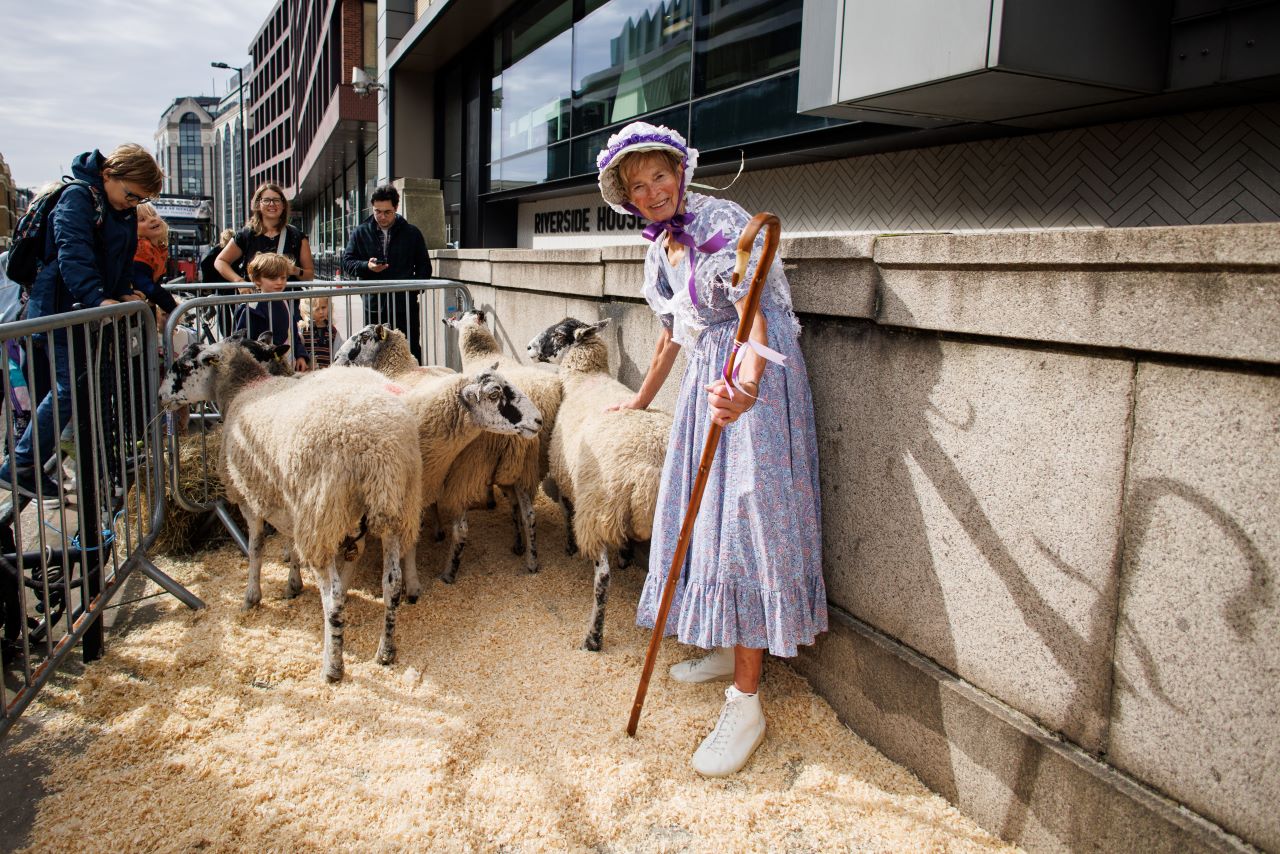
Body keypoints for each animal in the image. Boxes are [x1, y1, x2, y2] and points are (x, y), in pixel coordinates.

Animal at [157, 332, 422, 681]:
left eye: (185, 365)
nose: (160, 396)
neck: (244, 387)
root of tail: (376, 445)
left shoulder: (251, 499)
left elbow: (256, 548)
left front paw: (252, 596)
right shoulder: (285, 499)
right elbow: (289, 543)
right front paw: (292, 582)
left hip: (322, 511)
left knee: (333, 595)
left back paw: (332, 665)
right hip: (394, 504)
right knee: (390, 582)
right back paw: (385, 651)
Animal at [437, 311, 563, 583]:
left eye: (457, 317)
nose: (445, 320)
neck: (482, 353)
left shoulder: (478, 460)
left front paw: (489, 500)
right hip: (537, 460)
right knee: (531, 512)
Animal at [524, 317, 675, 650]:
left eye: (558, 334)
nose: (528, 347)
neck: (586, 377)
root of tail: (650, 467)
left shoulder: (567, 478)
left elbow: (566, 512)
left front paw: (569, 546)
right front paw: (627, 556)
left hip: (597, 508)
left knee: (603, 577)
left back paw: (593, 638)